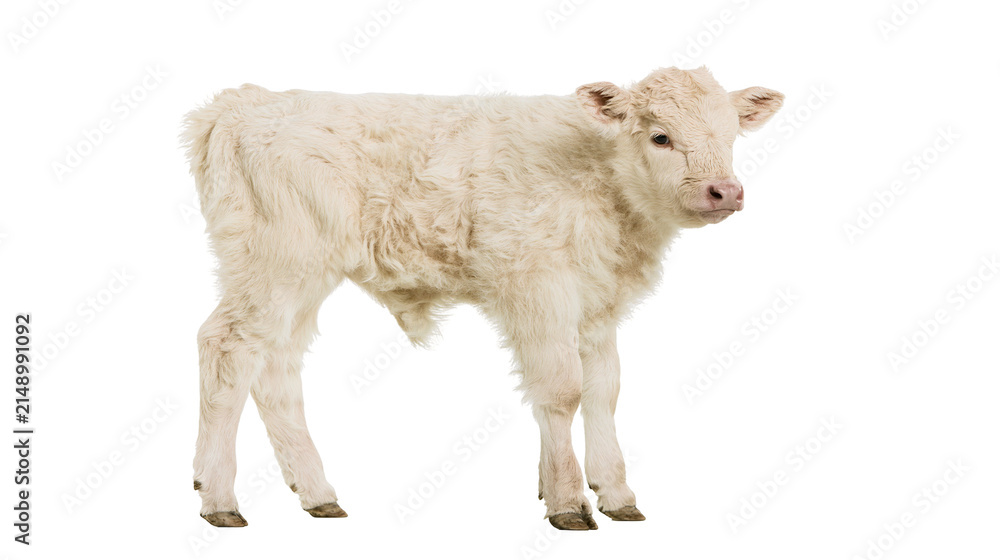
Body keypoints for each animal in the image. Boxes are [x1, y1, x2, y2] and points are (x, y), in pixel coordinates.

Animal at [183, 66, 783, 530]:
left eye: (731, 136)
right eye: (660, 137)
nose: (725, 191)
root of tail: (243, 101)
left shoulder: (595, 307)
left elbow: (603, 391)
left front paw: (615, 495)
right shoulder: (537, 289)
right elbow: (561, 390)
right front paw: (568, 502)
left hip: (300, 277)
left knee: (276, 366)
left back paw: (317, 495)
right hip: (277, 262)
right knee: (227, 348)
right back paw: (219, 500)